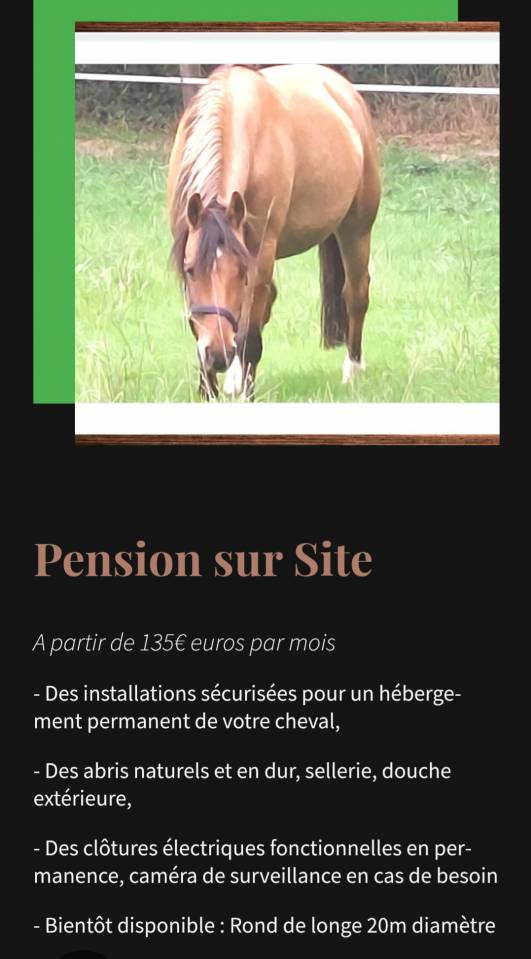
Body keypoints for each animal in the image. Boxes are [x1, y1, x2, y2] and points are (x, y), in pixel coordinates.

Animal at [167, 64, 381, 399]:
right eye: (190, 270)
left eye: (240, 271)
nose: (218, 356)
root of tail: (345, 92)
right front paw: (209, 390)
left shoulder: (260, 254)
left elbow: (251, 337)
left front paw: (247, 395)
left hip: (356, 230)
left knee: (356, 294)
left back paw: (353, 369)